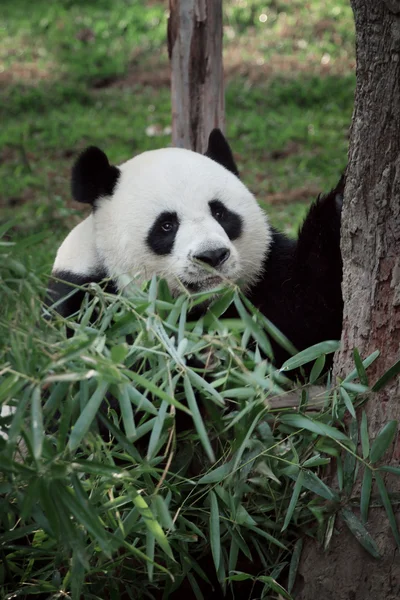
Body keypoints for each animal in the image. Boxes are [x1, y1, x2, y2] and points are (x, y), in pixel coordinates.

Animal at [45, 129, 342, 368]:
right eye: (166, 225)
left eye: (220, 213)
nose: (212, 256)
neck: (206, 306)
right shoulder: (87, 302)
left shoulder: (266, 280)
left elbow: (309, 327)